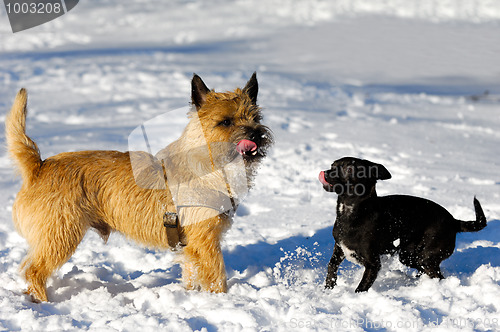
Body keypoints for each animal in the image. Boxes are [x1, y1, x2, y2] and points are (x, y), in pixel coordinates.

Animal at [5, 73, 272, 300]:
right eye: (225, 122)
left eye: (256, 118)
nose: (256, 135)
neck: (208, 166)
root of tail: (39, 166)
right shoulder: (206, 242)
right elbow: (217, 275)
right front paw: (222, 300)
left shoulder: (192, 246)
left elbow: (191, 274)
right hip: (60, 235)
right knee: (34, 271)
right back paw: (43, 301)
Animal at [318, 157, 486, 292]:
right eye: (332, 165)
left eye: (350, 169)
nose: (325, 172)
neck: (352, 212)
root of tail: (453, 221)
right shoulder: (339, 248)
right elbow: (331, 267)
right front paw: (328, 289)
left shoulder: (373, 264)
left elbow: (361, 287)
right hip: (409, 256)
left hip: (426, 258)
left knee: (438, 276)